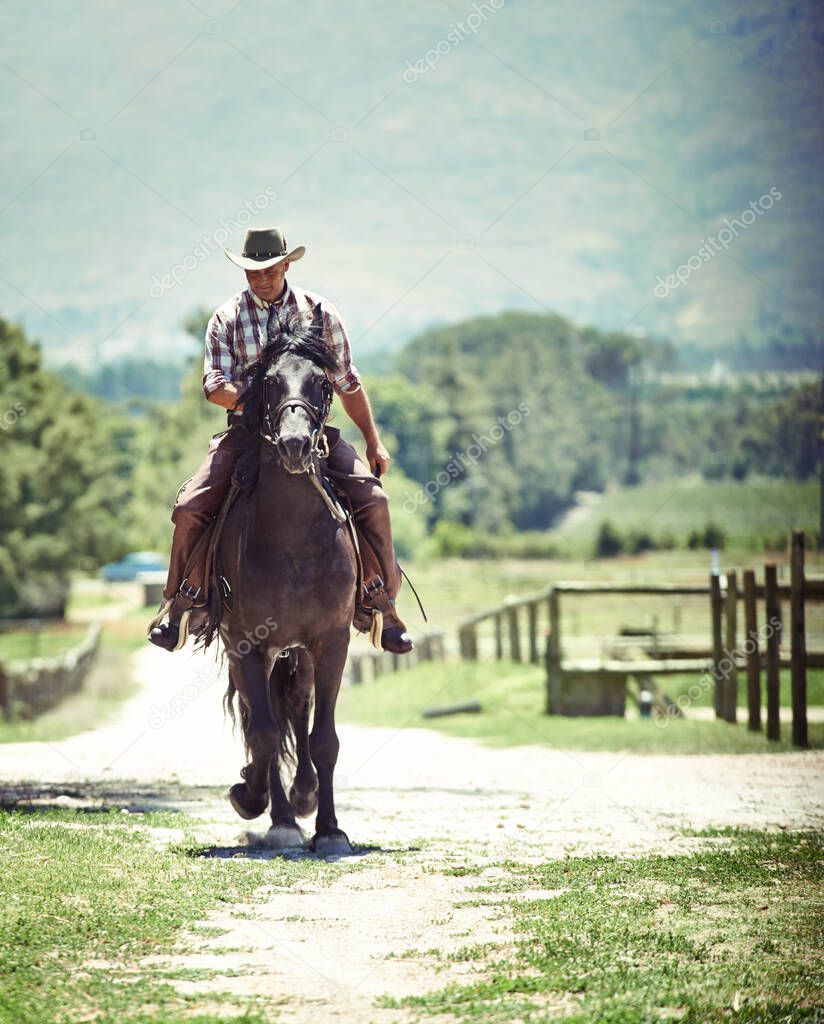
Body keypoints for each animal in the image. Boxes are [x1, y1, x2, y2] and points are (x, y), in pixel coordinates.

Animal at [210, 303, 356, 856]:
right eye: (269, 382)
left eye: (321, 382)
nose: (294, 445)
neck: (291, 539)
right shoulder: (248, 646)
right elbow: (265, 734)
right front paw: (262, 806)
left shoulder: (331, 642)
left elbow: (323, 738)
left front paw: (330, 829)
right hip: (255, 653)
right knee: (263, 720)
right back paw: (277, 808)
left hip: (299, 653)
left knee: (294, 708)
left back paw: (304, 795)